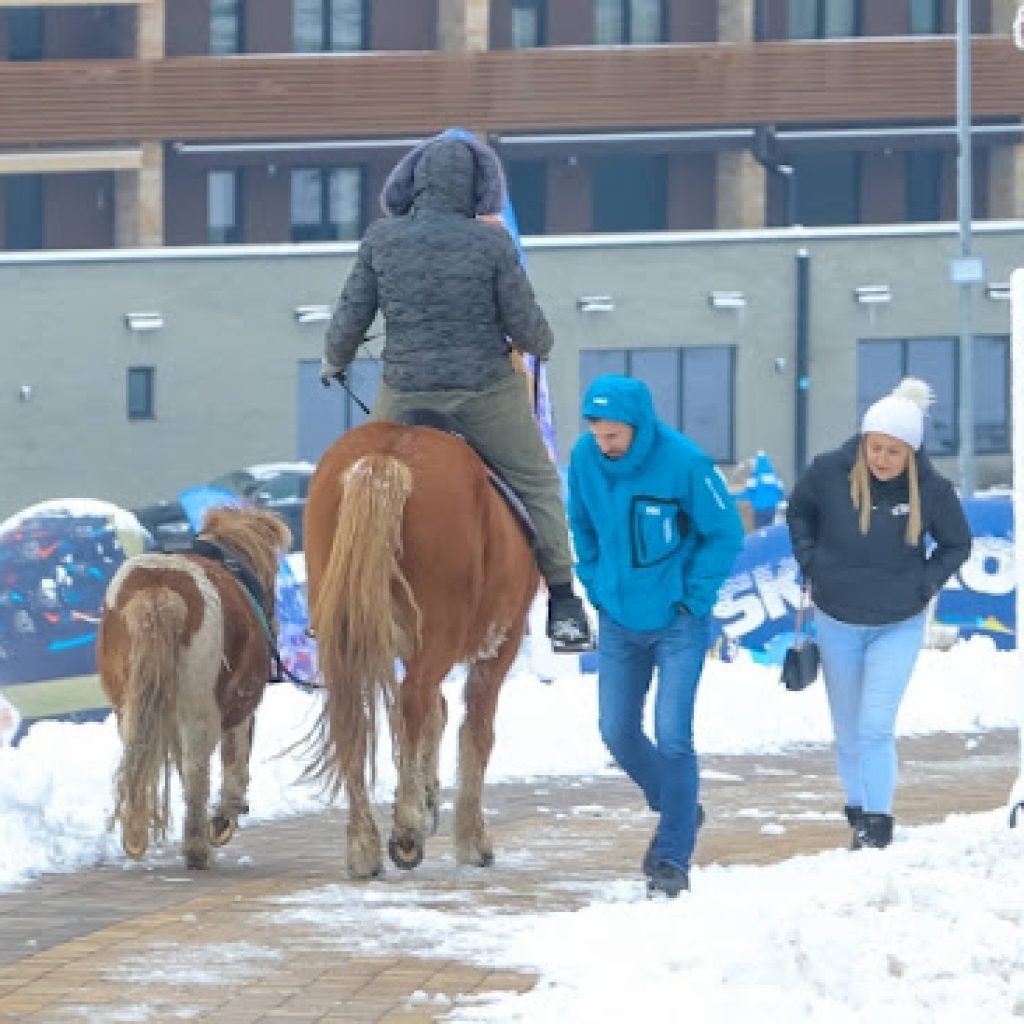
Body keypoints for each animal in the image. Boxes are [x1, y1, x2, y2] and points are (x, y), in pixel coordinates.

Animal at [96, 507, 292, 868]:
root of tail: (159, 594)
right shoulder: (241, 711)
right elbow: (235, 764)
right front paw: (225, 819)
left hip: (130, 707)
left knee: (139, 758)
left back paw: (136, 835)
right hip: (201, 713)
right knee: (197, 772)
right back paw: (198, 847)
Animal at [303, 419, 540, 876]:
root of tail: (387, 457)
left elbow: (437, 714)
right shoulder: (501, 643)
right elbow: (475, 730)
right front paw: (471, 839)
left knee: (354, 718)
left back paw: (364, 844)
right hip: (443, 636)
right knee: (411, 701)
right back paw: (407, 828)